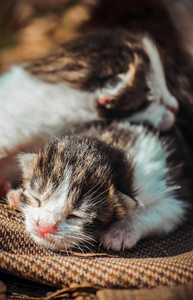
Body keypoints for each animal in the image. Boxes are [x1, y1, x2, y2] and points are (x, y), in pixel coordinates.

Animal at [6, 120, 192, 252]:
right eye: (36, 199)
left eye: (76, 216)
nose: (44, 227)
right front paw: (16, 195)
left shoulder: (174, 194)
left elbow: (162, 211)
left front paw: (120, 231)